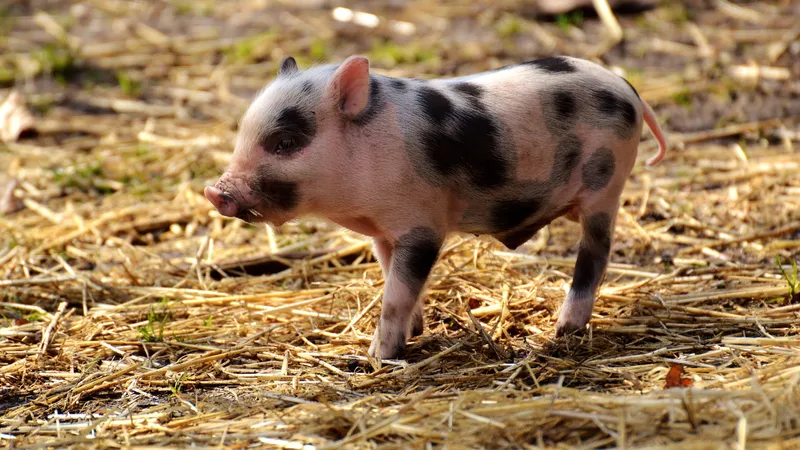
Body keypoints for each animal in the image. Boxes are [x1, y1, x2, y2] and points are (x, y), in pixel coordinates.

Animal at [204, 55, 668, 360]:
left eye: (286, 142)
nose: (215, 191)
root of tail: (627, 88)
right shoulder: (384, 231)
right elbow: (392, 277)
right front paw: (416, 329)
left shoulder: (421, 226)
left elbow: (397, 291)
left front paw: (378, 356)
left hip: (605, 185)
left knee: (596, 254)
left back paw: (564, 331)